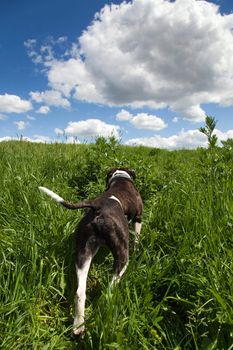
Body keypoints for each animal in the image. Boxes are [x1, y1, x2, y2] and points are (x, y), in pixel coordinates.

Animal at [39, 167, 143, 336]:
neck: (121, 178)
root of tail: (97, 207)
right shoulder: (139, 217)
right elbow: (137, 237)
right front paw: (138, 248)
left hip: (83, 253)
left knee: (80, 292)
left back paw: (78, 326)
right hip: (122, 255)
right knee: (109, 287)